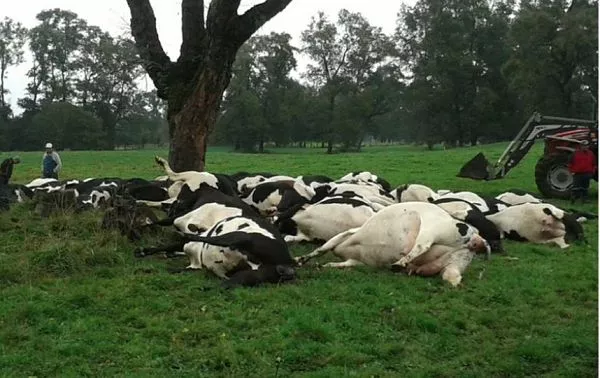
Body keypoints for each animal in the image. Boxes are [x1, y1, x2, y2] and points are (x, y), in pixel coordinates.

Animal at [135, 214, 296, 288]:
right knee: (223, 285)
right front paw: (143, 252)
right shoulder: (193, 265)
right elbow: (169, 252)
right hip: (249, 275)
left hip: (239, 236)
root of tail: (288, 264)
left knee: (212, 239)